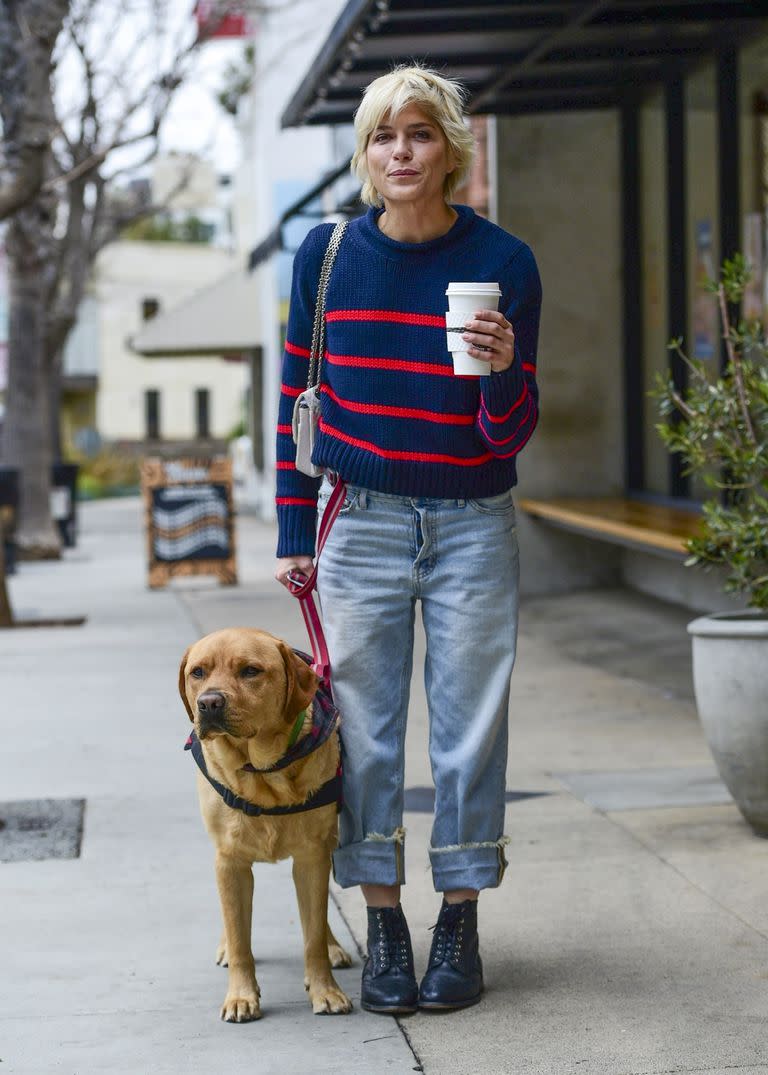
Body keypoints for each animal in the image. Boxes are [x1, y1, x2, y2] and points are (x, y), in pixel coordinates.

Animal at [177, 627, 350, 1019]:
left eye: (250, 671)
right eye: (198, 672)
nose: (208, 703)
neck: (263, 773)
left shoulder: (312, 857)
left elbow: (313, 935)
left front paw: (325, 989)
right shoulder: (229, 862)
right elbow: (241, 938)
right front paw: (241, 996)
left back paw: (334, 946)